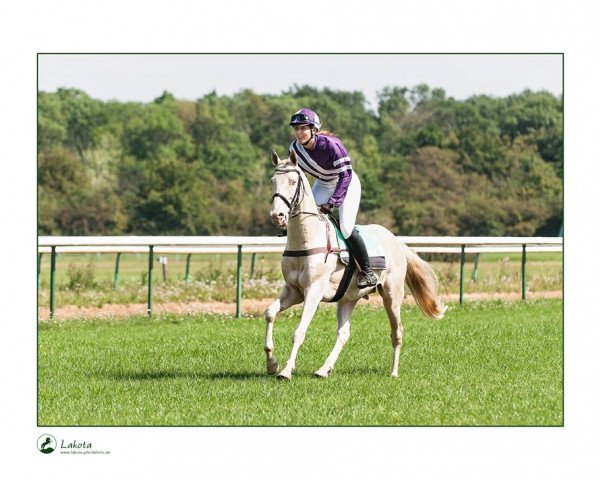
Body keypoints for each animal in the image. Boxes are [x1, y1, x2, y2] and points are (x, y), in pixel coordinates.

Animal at [264, 148, 448, 380]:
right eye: (272, 181)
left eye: (292, 181)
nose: (277, 216)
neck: (306, 238)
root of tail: (397, 241)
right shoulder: (293, 290)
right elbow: (269, 313)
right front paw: (272, 364)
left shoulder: (313, 291)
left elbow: (299, 332)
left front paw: (286, 371)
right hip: (348, 298)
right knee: (344, 334)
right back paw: (324, 369)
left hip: (392, 296)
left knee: (397, 332)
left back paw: (394, 372)